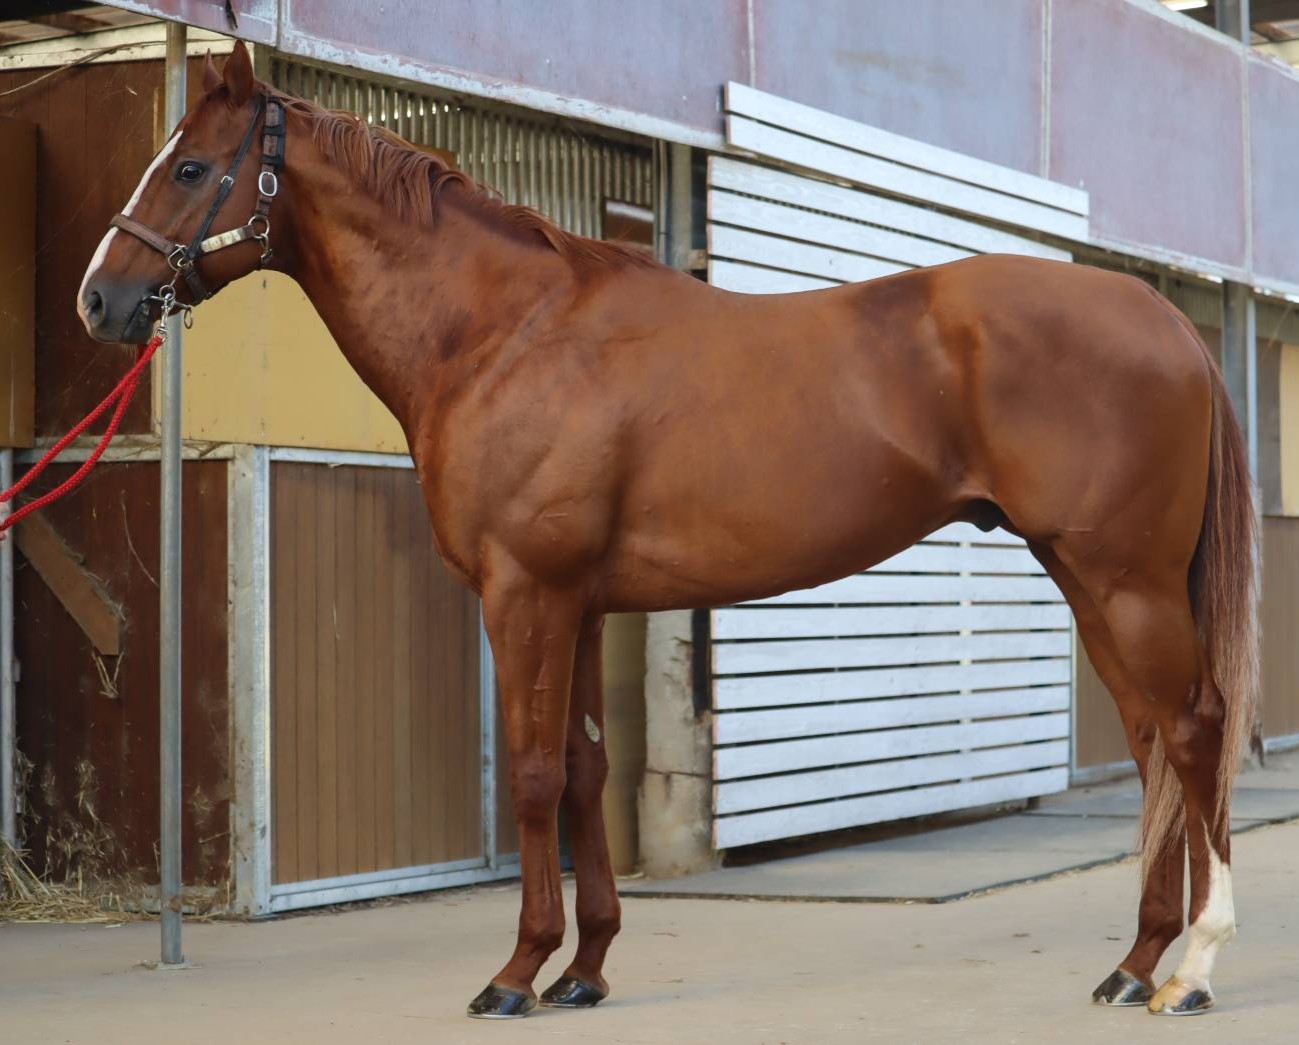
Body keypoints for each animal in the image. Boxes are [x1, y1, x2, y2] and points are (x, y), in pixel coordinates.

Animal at [77, 42, 1257, 1019]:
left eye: (191, 169)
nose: (100, 300)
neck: (504, 332)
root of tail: (1167, 322)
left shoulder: (526, 593)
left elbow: (533, 774)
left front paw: (516, 973)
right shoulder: (581, 602)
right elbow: (585, 770)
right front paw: (586, 968)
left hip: (1124, 578)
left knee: (1193, 730)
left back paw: (1195, 965)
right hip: (1088, 576)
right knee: (1151, 742)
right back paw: (1133, 962)